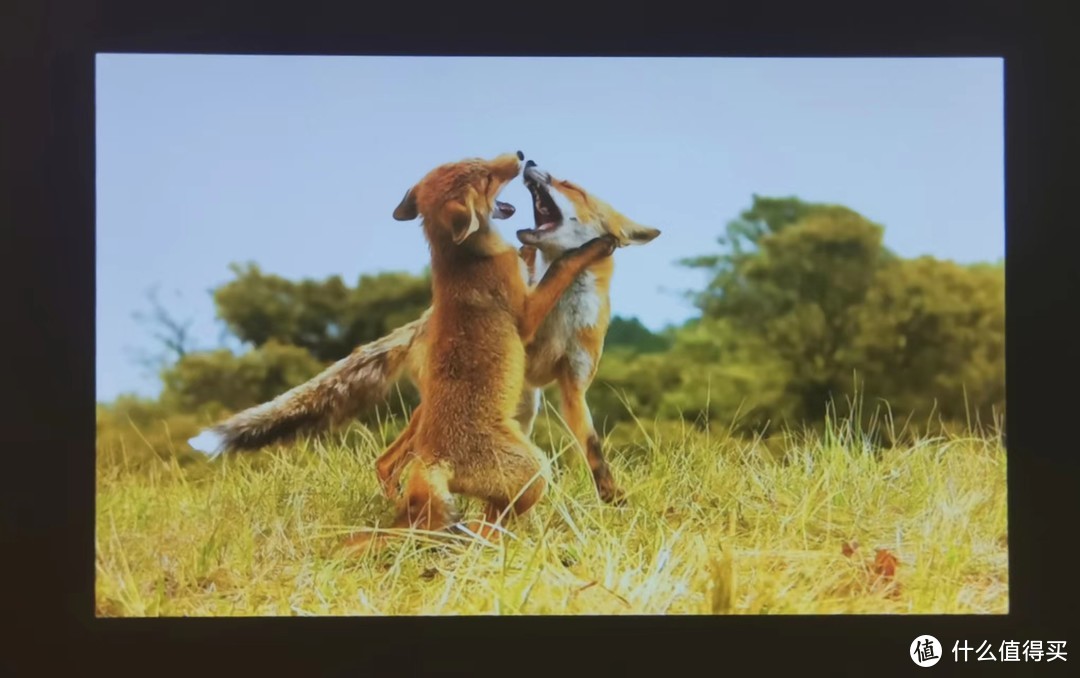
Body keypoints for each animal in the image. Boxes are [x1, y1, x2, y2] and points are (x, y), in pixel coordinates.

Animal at [190, 159, 660, 509]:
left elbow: (594, 449)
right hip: (450, 404)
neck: (562, 315)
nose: (532, 164)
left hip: (520, 402)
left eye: (569, 184)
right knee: (389, 459)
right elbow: (556, 266)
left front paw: (612, 499)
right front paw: (584, 251)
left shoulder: (571, 384)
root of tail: (424, 321)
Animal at [341, 151, 622, 548]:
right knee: (489, 527)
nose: (520, 156)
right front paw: (593, 247)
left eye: (475, 159)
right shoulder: (525, 314)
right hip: (535, 471)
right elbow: (562, 267)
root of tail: (434, 459)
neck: (461, 259)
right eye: (487, 177)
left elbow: (533, 255)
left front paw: (533, 243)